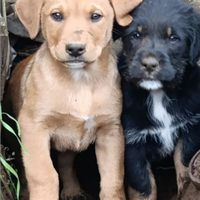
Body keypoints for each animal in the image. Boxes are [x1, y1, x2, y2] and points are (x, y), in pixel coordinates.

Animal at [2, 0, 141, 200]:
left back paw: (72, 191)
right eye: (56, 15)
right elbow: (44, 175)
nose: (75, 49)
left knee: (65, 164)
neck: (80, 82)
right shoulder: (33, 126)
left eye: (95, 16)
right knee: (23, 168)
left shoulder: (111, 130)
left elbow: (113, 178)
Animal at [115, 0, 200, 199]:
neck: (157, 94)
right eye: (136, 35)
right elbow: (143, 187)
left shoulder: (190, 130)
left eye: (173, 38)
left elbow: (184, 168)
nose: (149, 64)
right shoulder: (132, 144)